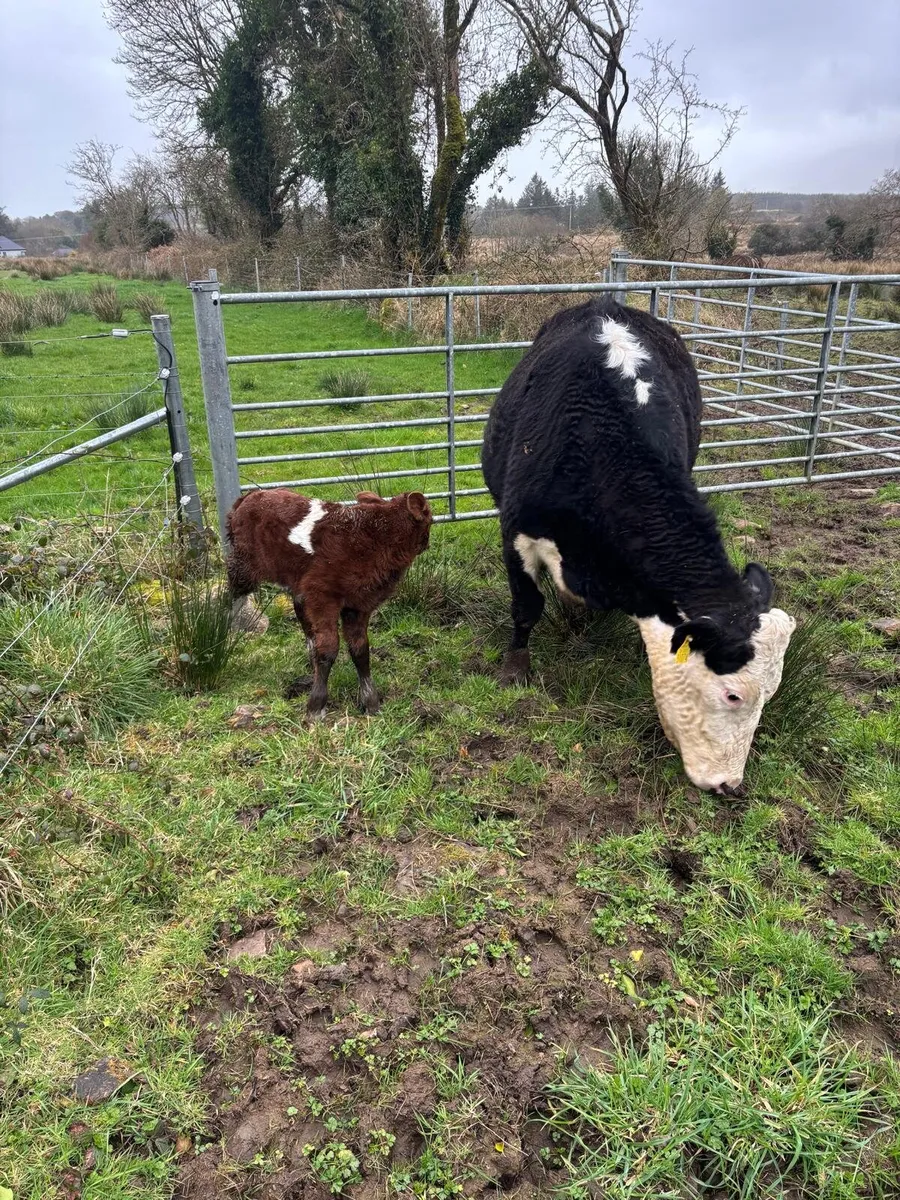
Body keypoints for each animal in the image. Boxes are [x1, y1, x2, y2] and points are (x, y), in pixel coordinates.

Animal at [481, 299, 796, 794]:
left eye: (773, 691)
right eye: (733, 694)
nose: (730, 785)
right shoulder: (517, 531)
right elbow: (526, 607)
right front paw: (515, 671)